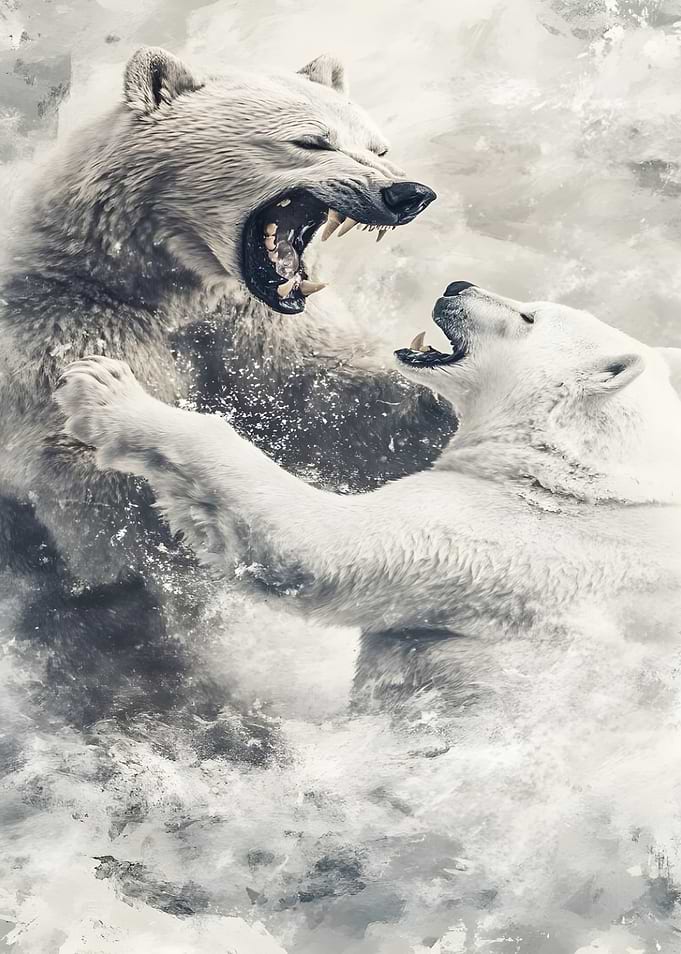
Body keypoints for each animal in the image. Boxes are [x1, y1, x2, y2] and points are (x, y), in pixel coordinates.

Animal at [0, 46, 447, 734]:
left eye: (377, 145)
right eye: (310, 140)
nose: (408, 193)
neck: (162, 285)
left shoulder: (252, 331)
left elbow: (336, 406)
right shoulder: (63, 332)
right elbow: (109, 502)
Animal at [55, 280, 681, 712]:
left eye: (529, 316)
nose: (457, 285)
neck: (583, 476)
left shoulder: (499, 536)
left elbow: (316, 545)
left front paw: (103, 387)